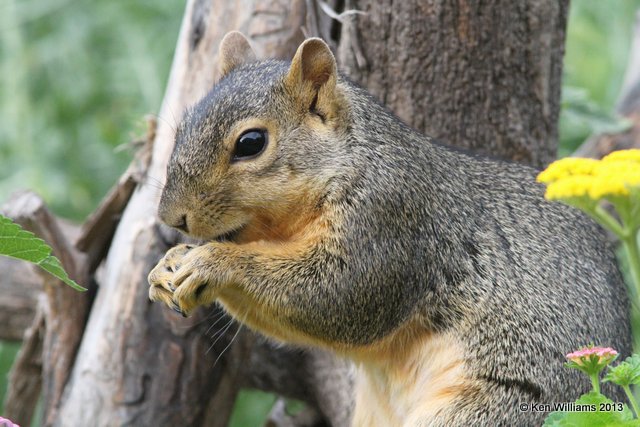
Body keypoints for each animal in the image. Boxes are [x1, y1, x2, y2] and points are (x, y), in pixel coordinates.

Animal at [148, 32, 632, 427]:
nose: (171, 217)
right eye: (183, 125)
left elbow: (334, 296)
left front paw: (213, 262)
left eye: (251, 143)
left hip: (501, 407)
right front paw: (165, 266)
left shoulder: (389, 222)